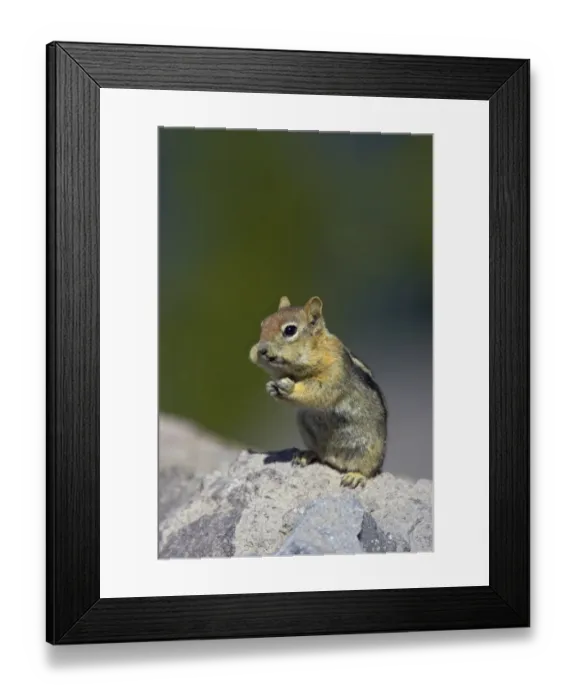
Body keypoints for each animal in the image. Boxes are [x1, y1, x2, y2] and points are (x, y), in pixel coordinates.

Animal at [249, 295, 388, 488]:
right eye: (263, 324)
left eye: (290, 330)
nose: (261, 350)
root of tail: (335, 460)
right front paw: (271, 386)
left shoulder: (333, 370)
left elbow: (319, 391)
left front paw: (289, 387)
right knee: (320, 455)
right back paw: (306, 455)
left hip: (370, 450)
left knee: (369, 470)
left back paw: (355, 476)